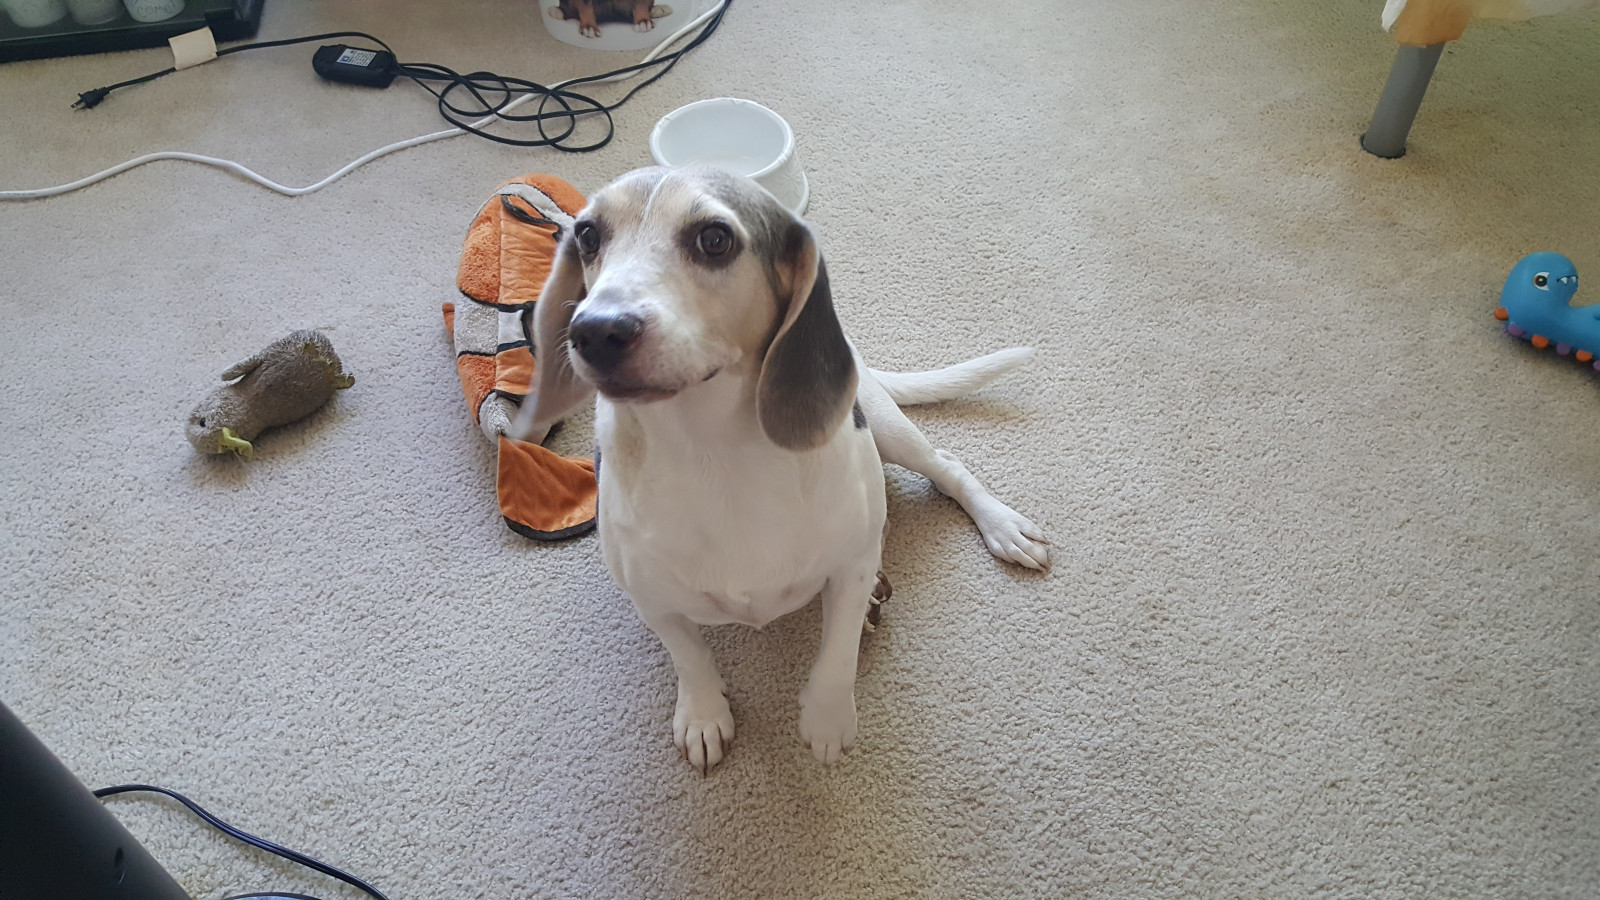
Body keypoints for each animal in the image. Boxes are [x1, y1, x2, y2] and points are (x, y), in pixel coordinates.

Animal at [513, 165, 1050, 772]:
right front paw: (704, 714)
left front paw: (827, 718)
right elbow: (689, 655)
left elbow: (837, 653)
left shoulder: (850, 568)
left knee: (948, 469)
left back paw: (1002, 526)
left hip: (885, 427)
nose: (594, 331)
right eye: (587, 236)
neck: (713, 449)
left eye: (714, 239)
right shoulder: (651, 598)